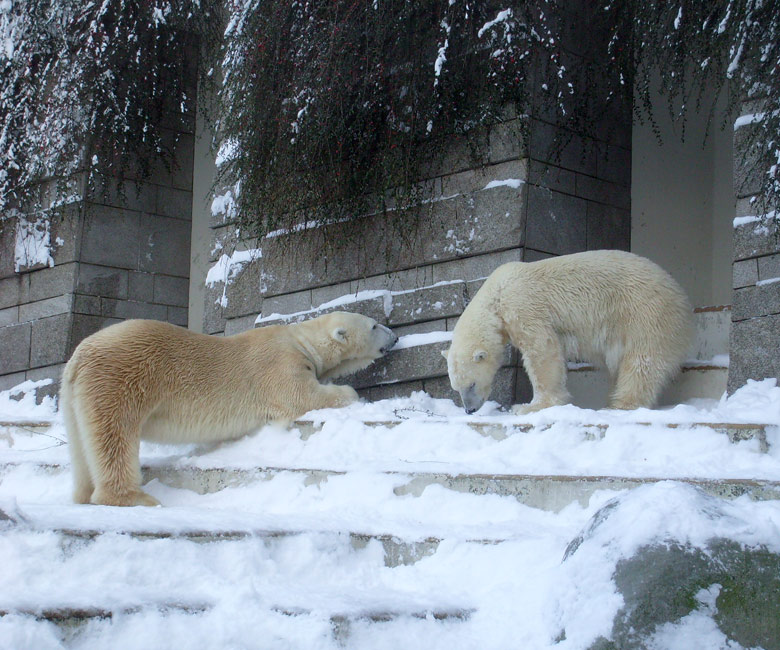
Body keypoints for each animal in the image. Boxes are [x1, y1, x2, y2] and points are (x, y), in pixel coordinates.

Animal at [62, 310, 396, 506]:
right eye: (374, 324)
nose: (394, 336)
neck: (300, 339)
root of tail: (78, 357)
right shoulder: (280, 363)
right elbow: (302, 397)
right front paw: (350, 392)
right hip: (120, 377)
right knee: (115, 436)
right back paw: (135, 497)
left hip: (75, 394)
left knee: (82, 444)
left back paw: (82, 494)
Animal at [442, 251, 692, 412]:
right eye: (455, 388)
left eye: (471, 384)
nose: (470, 410)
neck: (497, 293)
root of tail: (679, 293)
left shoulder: (524, 305)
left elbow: (541, 349)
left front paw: (530, 406)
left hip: (644, 312)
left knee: (642, 361)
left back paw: (621, 404)